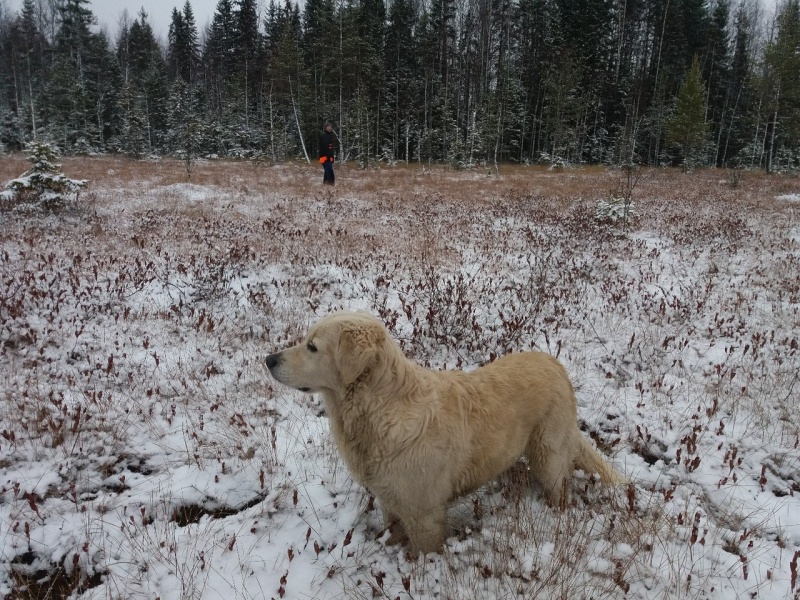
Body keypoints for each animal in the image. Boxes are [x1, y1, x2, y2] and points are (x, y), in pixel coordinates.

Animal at [266, 312, 628, 556]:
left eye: (312, 347)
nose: (268, 359)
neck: (379, 406)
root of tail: (555, 363)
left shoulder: (424, 512)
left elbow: (425, 550)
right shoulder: (389, 497)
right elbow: (393, 530)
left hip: (548, 454)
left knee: (559, 487)